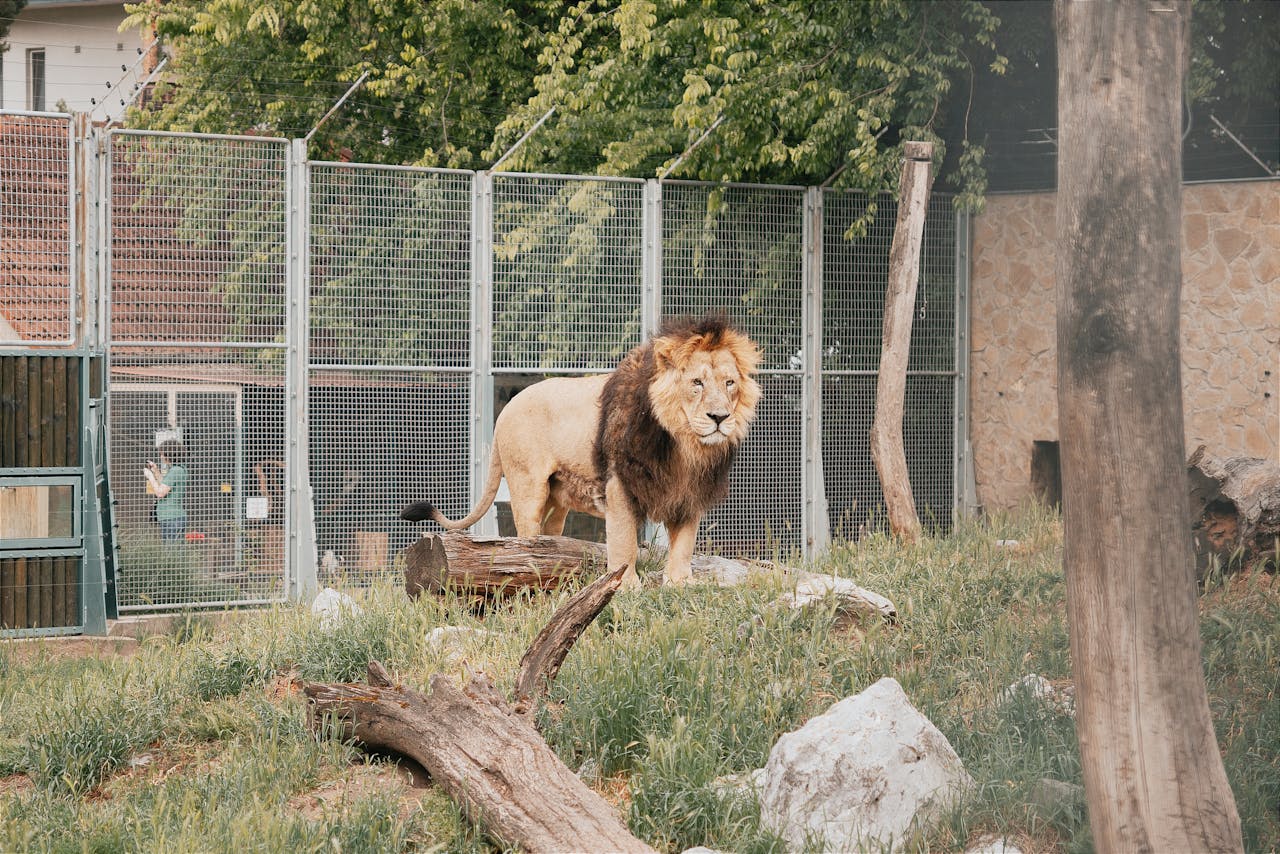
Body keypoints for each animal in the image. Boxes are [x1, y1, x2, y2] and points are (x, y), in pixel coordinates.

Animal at [401, 315, 761, 589]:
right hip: (527, 486)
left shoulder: (690, 493)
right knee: (524, 536)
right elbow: (624, 542)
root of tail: (504, 412)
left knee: (550, 537)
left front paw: (680, 584)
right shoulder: (619, 486)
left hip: (556, 500)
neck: (684, 445)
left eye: (729, 383)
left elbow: (684, 545)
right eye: (697, 383)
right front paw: (626, 587)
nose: (719, 418)